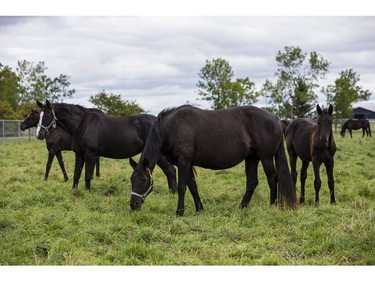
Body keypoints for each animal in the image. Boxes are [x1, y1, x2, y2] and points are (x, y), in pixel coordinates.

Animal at [36, 99, 177, 191]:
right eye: (39, 115)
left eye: (47, 115)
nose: (39, 134)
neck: (82, 124)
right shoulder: (79, 154)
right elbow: (77, 174)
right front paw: (74, 191)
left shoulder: (90, 154)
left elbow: (87, 175)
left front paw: (87, 192)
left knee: (170, 170)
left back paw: (173, 193)